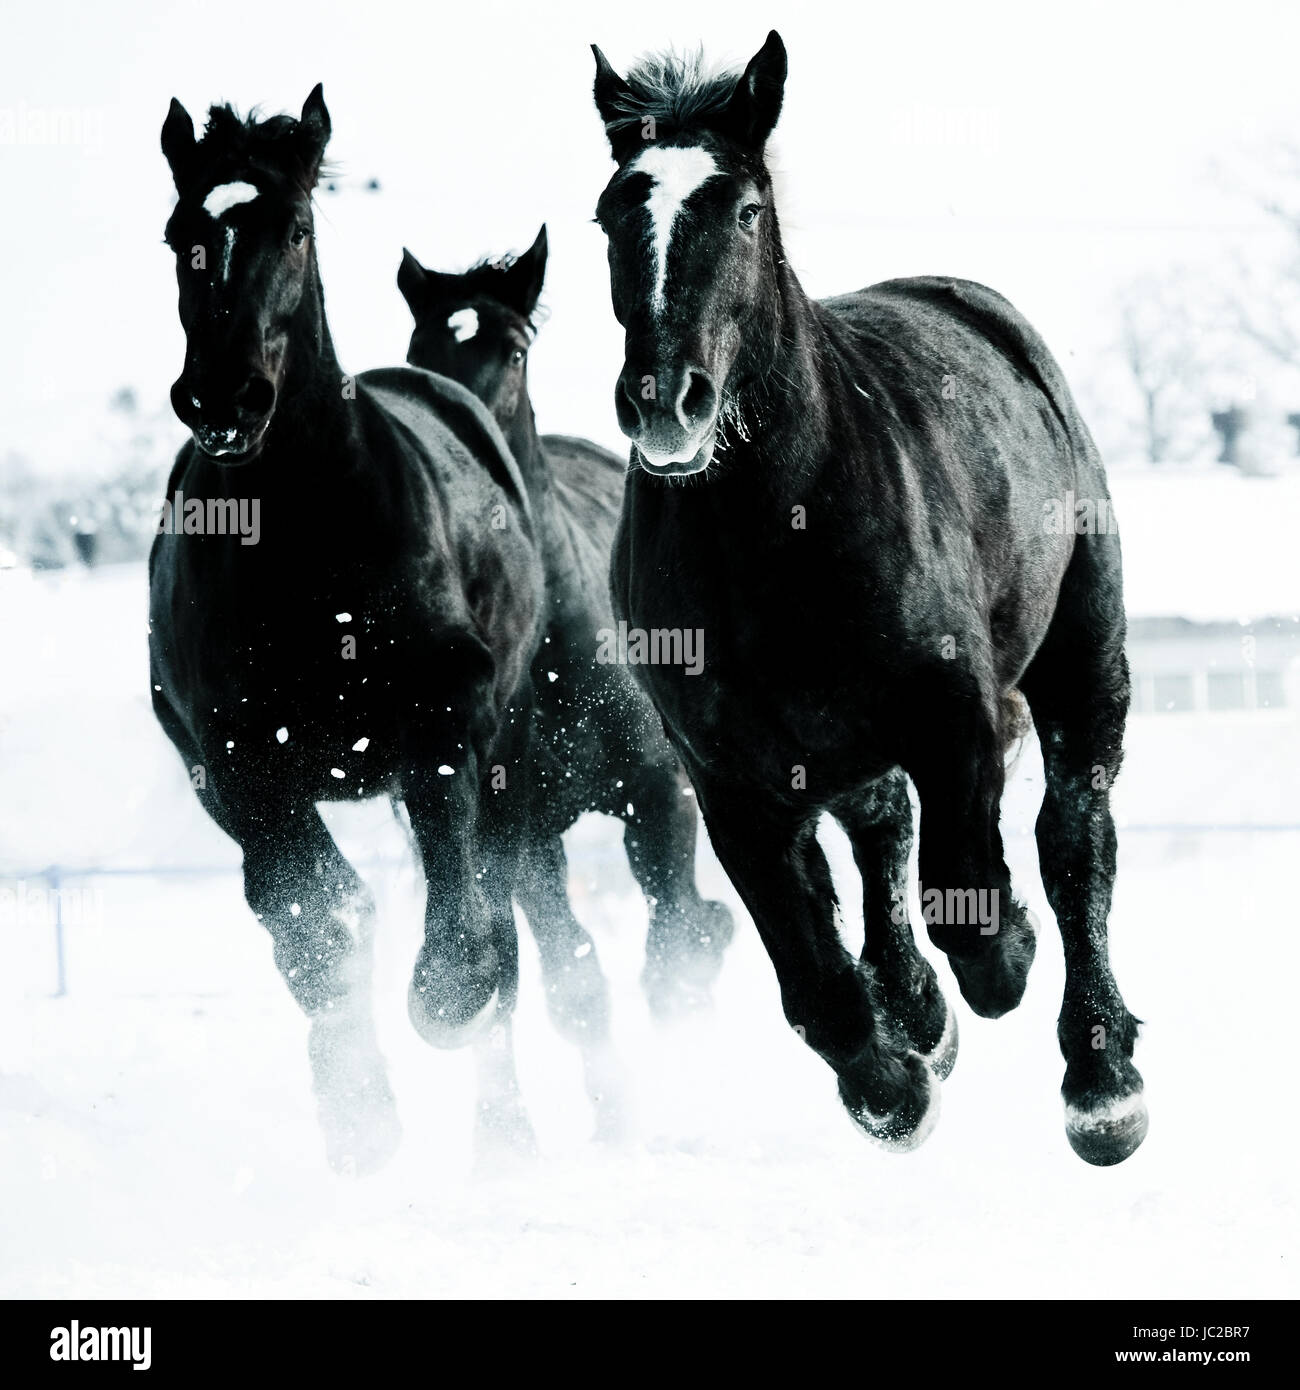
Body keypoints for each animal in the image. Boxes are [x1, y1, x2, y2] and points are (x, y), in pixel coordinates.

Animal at [151, 89, 558, 1173]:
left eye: (294, 229)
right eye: (179, 234)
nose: (223, 396)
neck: (307, 541)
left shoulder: (445, 723)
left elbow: (464, 921)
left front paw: (448, 1000)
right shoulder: (240, 763)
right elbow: (317, 920)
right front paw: (360, 1114)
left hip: (502, 753)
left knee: (492, 899)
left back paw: (506, 1128)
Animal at [397, 230, 739, 1034]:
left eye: (516, 349)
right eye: (419, 348)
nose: (453, 431)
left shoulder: (660, 799)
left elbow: (676, 948)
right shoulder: (523, 841)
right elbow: (574, 979)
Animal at [589, 32, 1151, 1162]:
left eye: (745, 208)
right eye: (610, 213)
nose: (666, 402)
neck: (776, 538)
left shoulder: (954, 720)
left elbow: (973, 901)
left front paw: (995, 973)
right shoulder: (733, 782)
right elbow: (811, 974)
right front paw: (891, 1080)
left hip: (1082, 659)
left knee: (1074, 841)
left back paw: (1100, 1083)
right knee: (883, 831)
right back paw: (920, 1018)